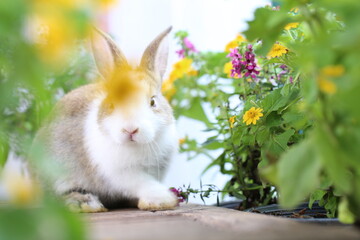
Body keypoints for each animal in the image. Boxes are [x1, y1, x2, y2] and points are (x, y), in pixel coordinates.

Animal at [33, 27, 179, 213]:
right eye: (111, 104)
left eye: (153, 102)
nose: (130, 129)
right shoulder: (121, 174)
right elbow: (143, 183)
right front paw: (162, 201)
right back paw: (87, 203)